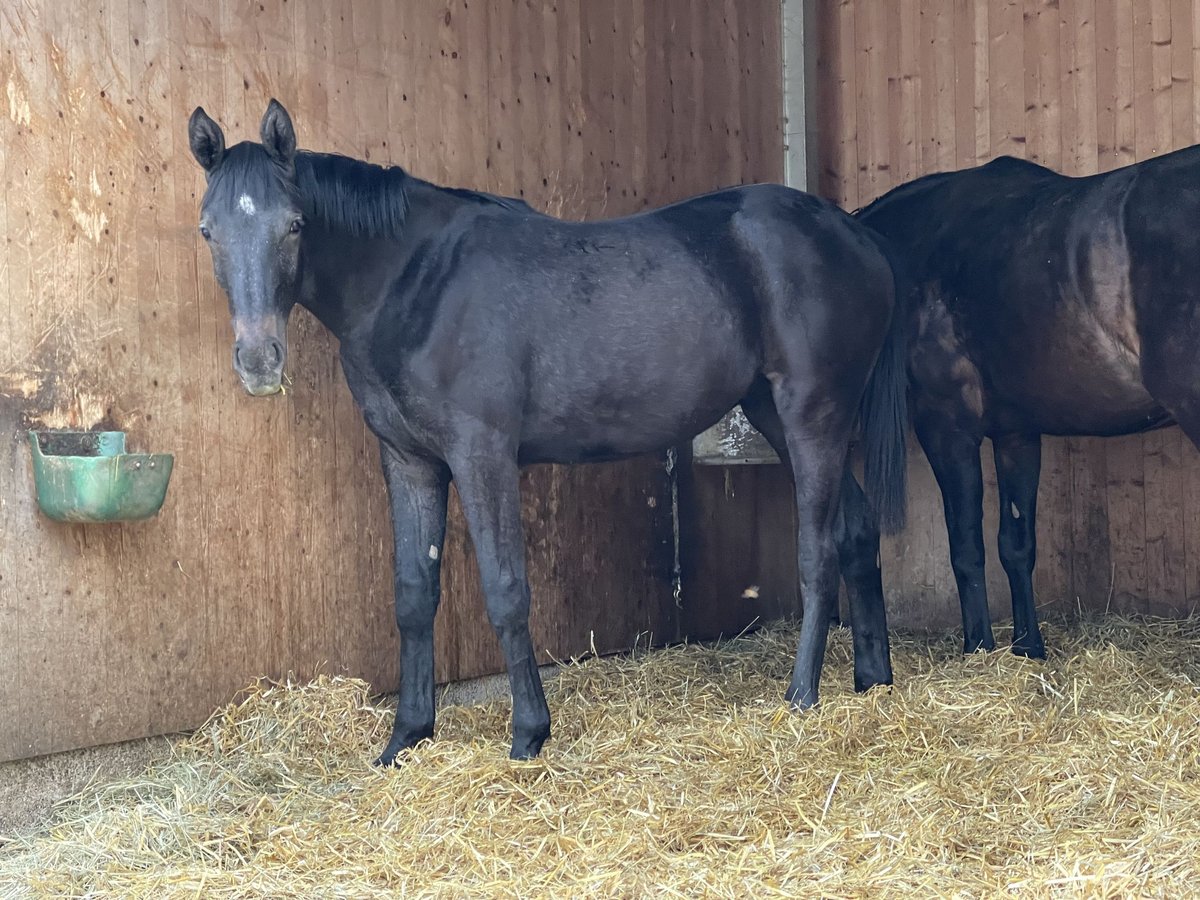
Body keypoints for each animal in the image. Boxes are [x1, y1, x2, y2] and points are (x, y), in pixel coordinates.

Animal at [184, 102, 902, 763]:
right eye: (208, 231)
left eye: (295, 224)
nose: (259, 361)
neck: (415, 281)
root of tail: (857, 234)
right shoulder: (409, 460)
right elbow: (413, 595)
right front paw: (407, 737)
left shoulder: (482, 456)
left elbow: (506, 591)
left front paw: (528, 734)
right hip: (776, 415)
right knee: (855, 531)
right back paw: (873, 683)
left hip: (812, 413)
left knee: (818, 552)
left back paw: (801, 697)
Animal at [849, 151, 1200, 662]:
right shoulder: (1016, 434)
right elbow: (1016, 545)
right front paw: (1028, 646)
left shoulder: (946, 429)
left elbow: (966, 545)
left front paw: (978, 646)